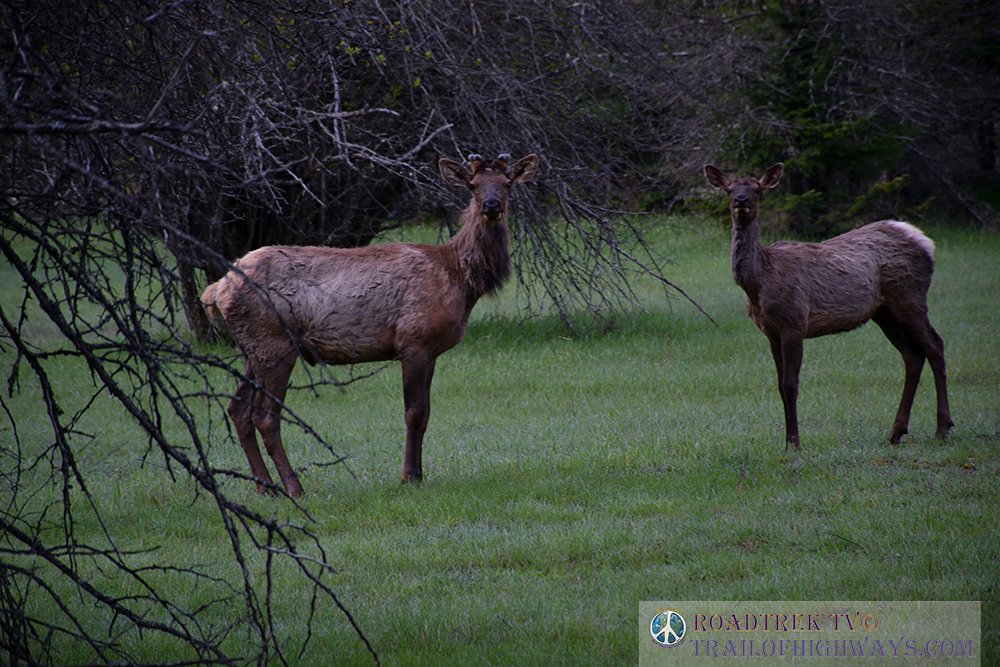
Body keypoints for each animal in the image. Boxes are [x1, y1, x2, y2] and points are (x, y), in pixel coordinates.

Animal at [202, 153, 539, 496]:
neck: (459, 279)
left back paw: (265, 487)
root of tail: (216, 290)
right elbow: (414, 413)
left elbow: (427, 414)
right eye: (473, 185)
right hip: (275, 344)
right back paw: (294, 488)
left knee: (238, 410)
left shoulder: (431, 351)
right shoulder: (413, 340)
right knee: (265, 416)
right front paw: (408, 476)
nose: (491, 205)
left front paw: (420, 474)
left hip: (252, 350)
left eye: (507, 184)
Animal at [703, 162, 952, 450]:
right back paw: (897, 431)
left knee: (935, 346)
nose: (741, 200)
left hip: (910, 297)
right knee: (912, 355)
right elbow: (779, 384)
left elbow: (790, 384)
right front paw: (787, 440)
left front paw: (794, 442)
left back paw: (943, 427)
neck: (759, 282)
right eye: (729, 189)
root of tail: (925, 242)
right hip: (885, 313)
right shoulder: (772, 333)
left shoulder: (794, 322)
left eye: (757, 189)